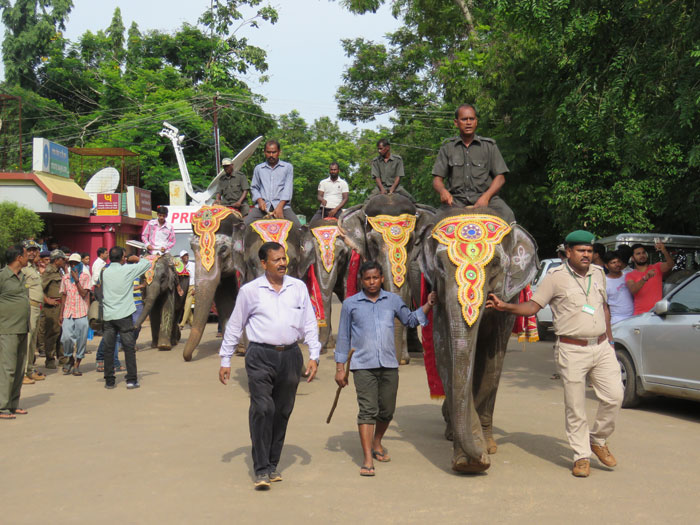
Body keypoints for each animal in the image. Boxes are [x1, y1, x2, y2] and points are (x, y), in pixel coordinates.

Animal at [418, 204, 540, 470]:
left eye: (495, 264)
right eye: (439, 265)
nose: (482, 458)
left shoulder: (508, 300)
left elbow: (493, 361)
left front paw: (486, 448)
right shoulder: (440, 299)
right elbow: (446, 355)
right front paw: (467, 461)